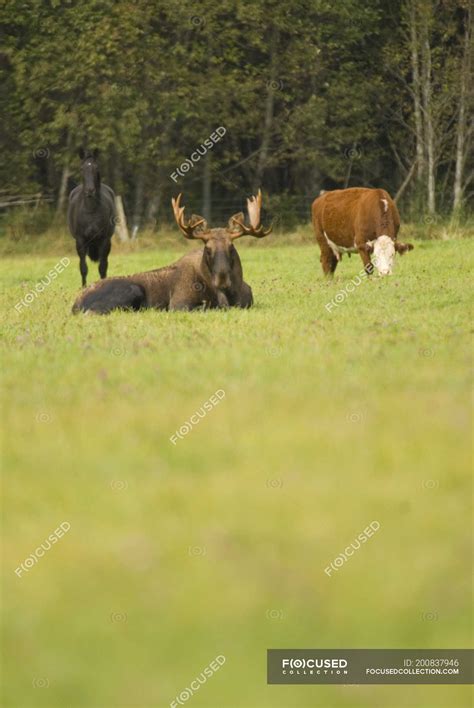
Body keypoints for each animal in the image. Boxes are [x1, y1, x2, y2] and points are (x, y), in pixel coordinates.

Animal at [68, 148, 116, 286]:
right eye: (81, 168)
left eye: (96, 167)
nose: (90, 190)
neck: (91, 210)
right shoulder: (80, 240)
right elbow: (83, 267)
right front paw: (84, 287)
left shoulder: (104, 240)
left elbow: (103, 267)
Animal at [72, 190, 271, 314]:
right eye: (207, 249)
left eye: (231, 246)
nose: (221, 279)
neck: (231, 295)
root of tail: (75, 305)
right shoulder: (178, 304)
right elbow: (206, 307)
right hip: (131, 289)